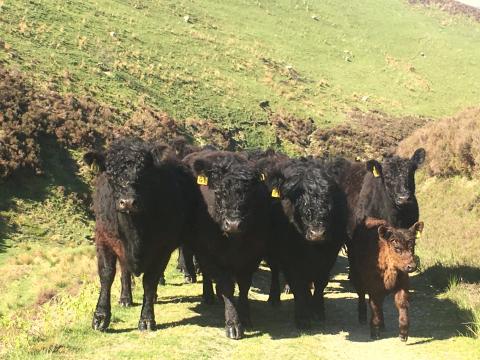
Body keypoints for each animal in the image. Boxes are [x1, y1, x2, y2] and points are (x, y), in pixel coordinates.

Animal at [84, 138, 199, 332]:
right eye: (111, 175)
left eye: (143, 174)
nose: (128, 202)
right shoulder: (104, 238)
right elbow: (107, 275)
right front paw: (100, 317)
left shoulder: (162, 247)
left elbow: (150, 281)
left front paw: (146, 319)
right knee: (124, 271)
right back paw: (125, 299)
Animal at [184, 150, 272, 340]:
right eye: (218, 193)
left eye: (249, 193)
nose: (233, 224)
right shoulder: (212, 253)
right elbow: (227, 287)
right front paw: (233, 324)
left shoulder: (252, 255)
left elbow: (244, 285)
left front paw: (245, 316)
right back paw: (208, 295)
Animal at [264, 158, 346, 330]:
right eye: (295, 199)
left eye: (329, 197)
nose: (317, 234)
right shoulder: (290, 258)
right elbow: (298, 286)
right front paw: (302, 318)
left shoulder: (330, 255)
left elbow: (321, 283)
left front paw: (317, 311)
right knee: (275, 270)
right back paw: (274, 298)